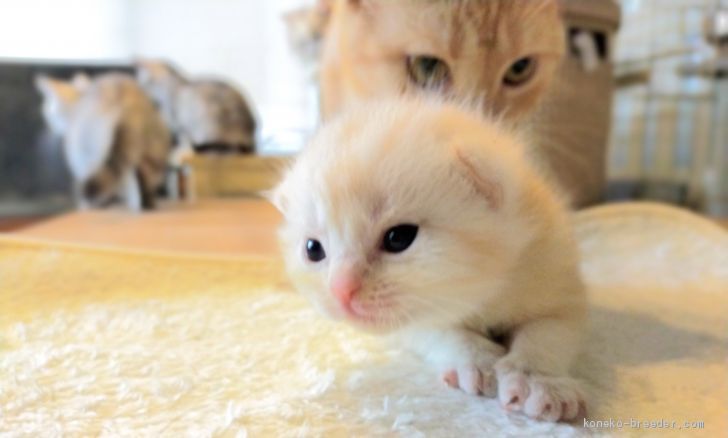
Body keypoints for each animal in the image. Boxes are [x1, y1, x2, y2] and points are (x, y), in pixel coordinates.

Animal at [36, 72, 171, 212]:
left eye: (49, 112)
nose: (49, 122)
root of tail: (124, 107)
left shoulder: (81, 162)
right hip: (155, 151)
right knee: (143, 180)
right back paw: (143, 206)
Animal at [272, 97, 584, 422]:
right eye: (313, 249)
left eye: (398, 238)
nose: (340, 290)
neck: (484, 293)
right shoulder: (412, 326)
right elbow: (446, 333)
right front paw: (478, 360)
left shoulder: (560, 289)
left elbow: (546, 336)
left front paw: (538, 380)